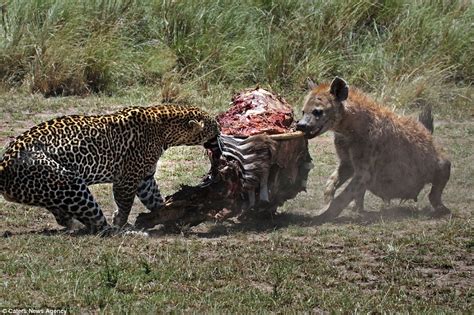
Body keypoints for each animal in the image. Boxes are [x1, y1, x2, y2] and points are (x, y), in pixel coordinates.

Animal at [0, 105, 220, 235]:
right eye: (215, 128)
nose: (220, 136)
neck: (164, 129)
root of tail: (3, 164)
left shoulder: (145, 178)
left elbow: (155, 200)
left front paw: (168, 214)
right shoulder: (127, 179)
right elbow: (125, 204)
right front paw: (120, 221)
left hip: (50, 191)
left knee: (64, 215)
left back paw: (73, 225)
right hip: (70, 184)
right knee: (100, 226)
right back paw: (126, 232)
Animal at [296, 77, 452, 221]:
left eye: (317, 111)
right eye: (303, 111)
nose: (301, 125)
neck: (347, 129)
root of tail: (429, 135)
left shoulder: (364, 166)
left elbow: (344, 195)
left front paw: (324, 215)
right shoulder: (347, 161)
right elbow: (331, 182)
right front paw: (325, 204)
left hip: (436, 163)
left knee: (439, 179)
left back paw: (442, 208)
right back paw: (357, 208)